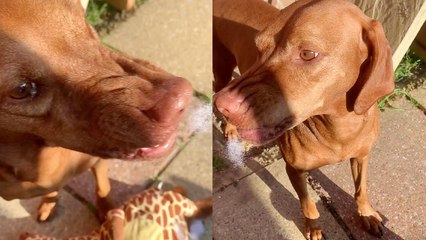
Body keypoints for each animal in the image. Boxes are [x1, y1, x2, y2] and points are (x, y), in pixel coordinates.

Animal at [0, 0, 191, 220]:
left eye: (83, 20)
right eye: (21, 89)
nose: (180, 99)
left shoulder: (98, 162)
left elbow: (103, 187)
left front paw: (109, 213)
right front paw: (50, 202)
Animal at [215, 0, 394, 238]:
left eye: (308, 53)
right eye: (258, 48)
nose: (222, 104)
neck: (338, 127)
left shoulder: (361, 157)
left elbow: (360, 189)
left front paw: (366, 213)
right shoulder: (295, 170)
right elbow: (308, 204)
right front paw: (313, 226)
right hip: (222, 73)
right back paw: (229, 127)